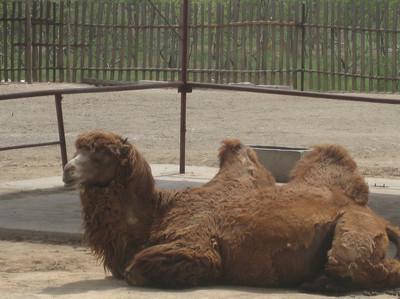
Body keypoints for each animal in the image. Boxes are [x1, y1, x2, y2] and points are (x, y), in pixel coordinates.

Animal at [62, 131, 400, 292]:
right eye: (78, 149)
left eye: (100, 154)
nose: (67, 170)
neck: (158, 215)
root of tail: (379, 219)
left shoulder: (197, 246)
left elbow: (135, 270)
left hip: (354, 228)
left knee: (357, 263)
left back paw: (325, 283)